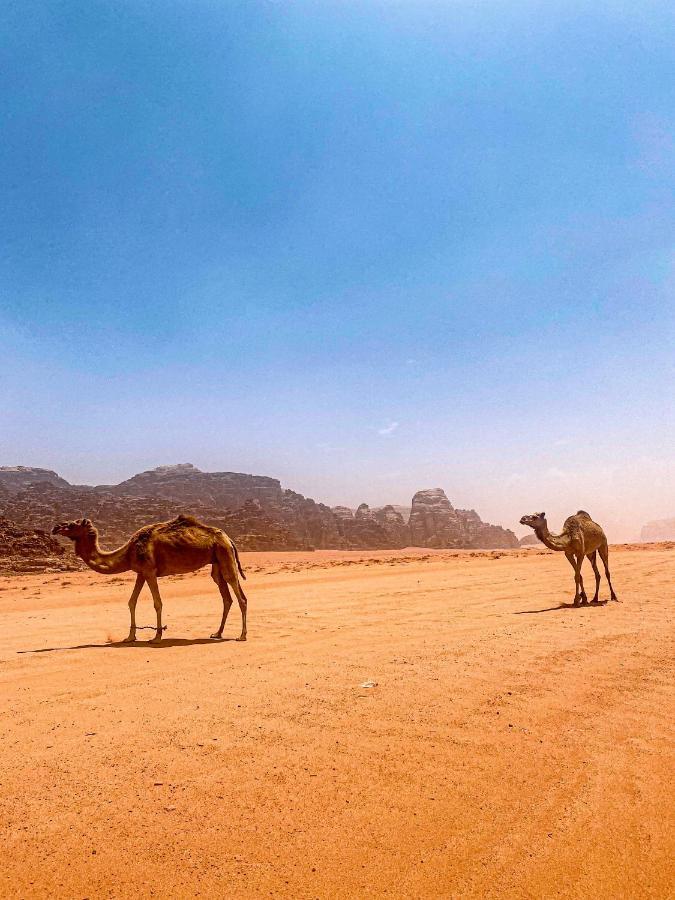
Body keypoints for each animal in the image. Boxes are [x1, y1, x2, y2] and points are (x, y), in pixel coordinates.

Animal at [52, 512, 248, 640]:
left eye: (73, 524)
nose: (55, 527)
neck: (129, 552)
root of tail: (229, 539)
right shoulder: (141, 572)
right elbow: (132, 602)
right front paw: (130, 636)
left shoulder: (150, 571)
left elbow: (157, 603)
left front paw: (157, 636)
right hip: (217, 562)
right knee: (226, 597)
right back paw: (217, 633)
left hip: (224, 554)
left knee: (240, 596)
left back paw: (242, 636)